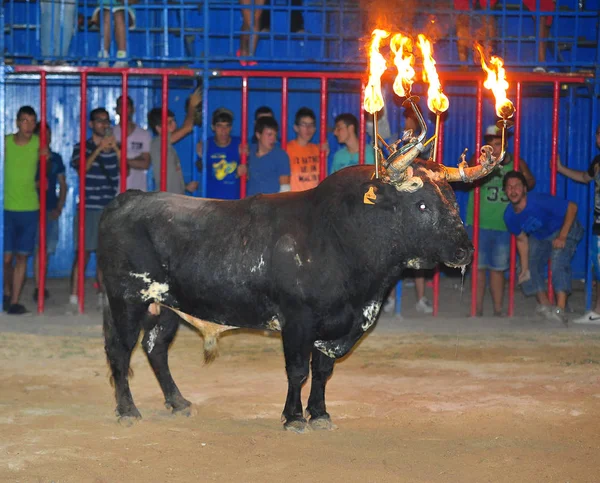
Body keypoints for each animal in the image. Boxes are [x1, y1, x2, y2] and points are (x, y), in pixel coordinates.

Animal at [97, 163, 474, 432]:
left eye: (453, 201)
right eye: (422, 205)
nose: (465, 251)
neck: (340, 236)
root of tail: (127, 199)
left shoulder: (333, 328)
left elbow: (322, 371)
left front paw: (319, 415)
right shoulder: (298, 321)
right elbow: (297, 371)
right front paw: (293, 418)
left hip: (165, 307)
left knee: (156, 349)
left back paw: (178, 402)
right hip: (127, 301)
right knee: (120, 351)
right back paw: (127, 410)